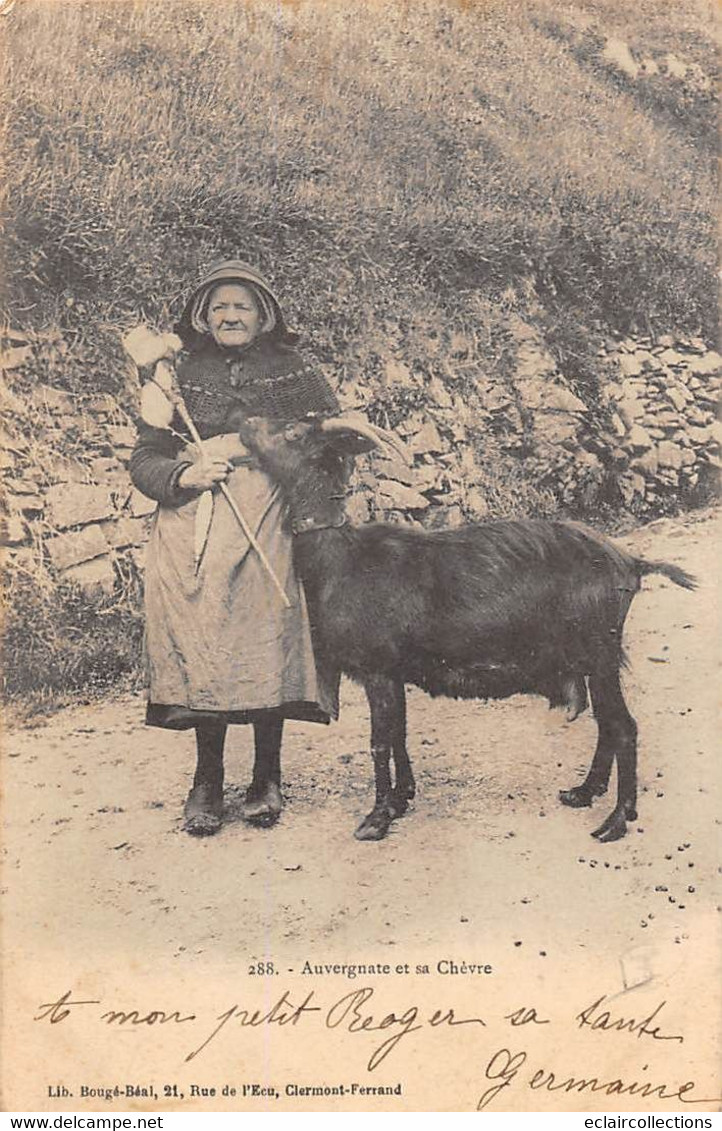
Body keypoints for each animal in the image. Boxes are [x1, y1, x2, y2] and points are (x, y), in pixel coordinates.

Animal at [230, 411, 697, 845]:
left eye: (294, 432)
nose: (244, 422)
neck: (341, 558)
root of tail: (631, 562)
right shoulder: (395, 673)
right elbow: (399, 735)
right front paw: (401, 799)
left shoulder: (378, 670)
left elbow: (380, 743)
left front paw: (375, 820)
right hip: (591, 660)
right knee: (606, 725)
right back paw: (583, 793)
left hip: (599, 652)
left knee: (623, 727)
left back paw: (614, 821)